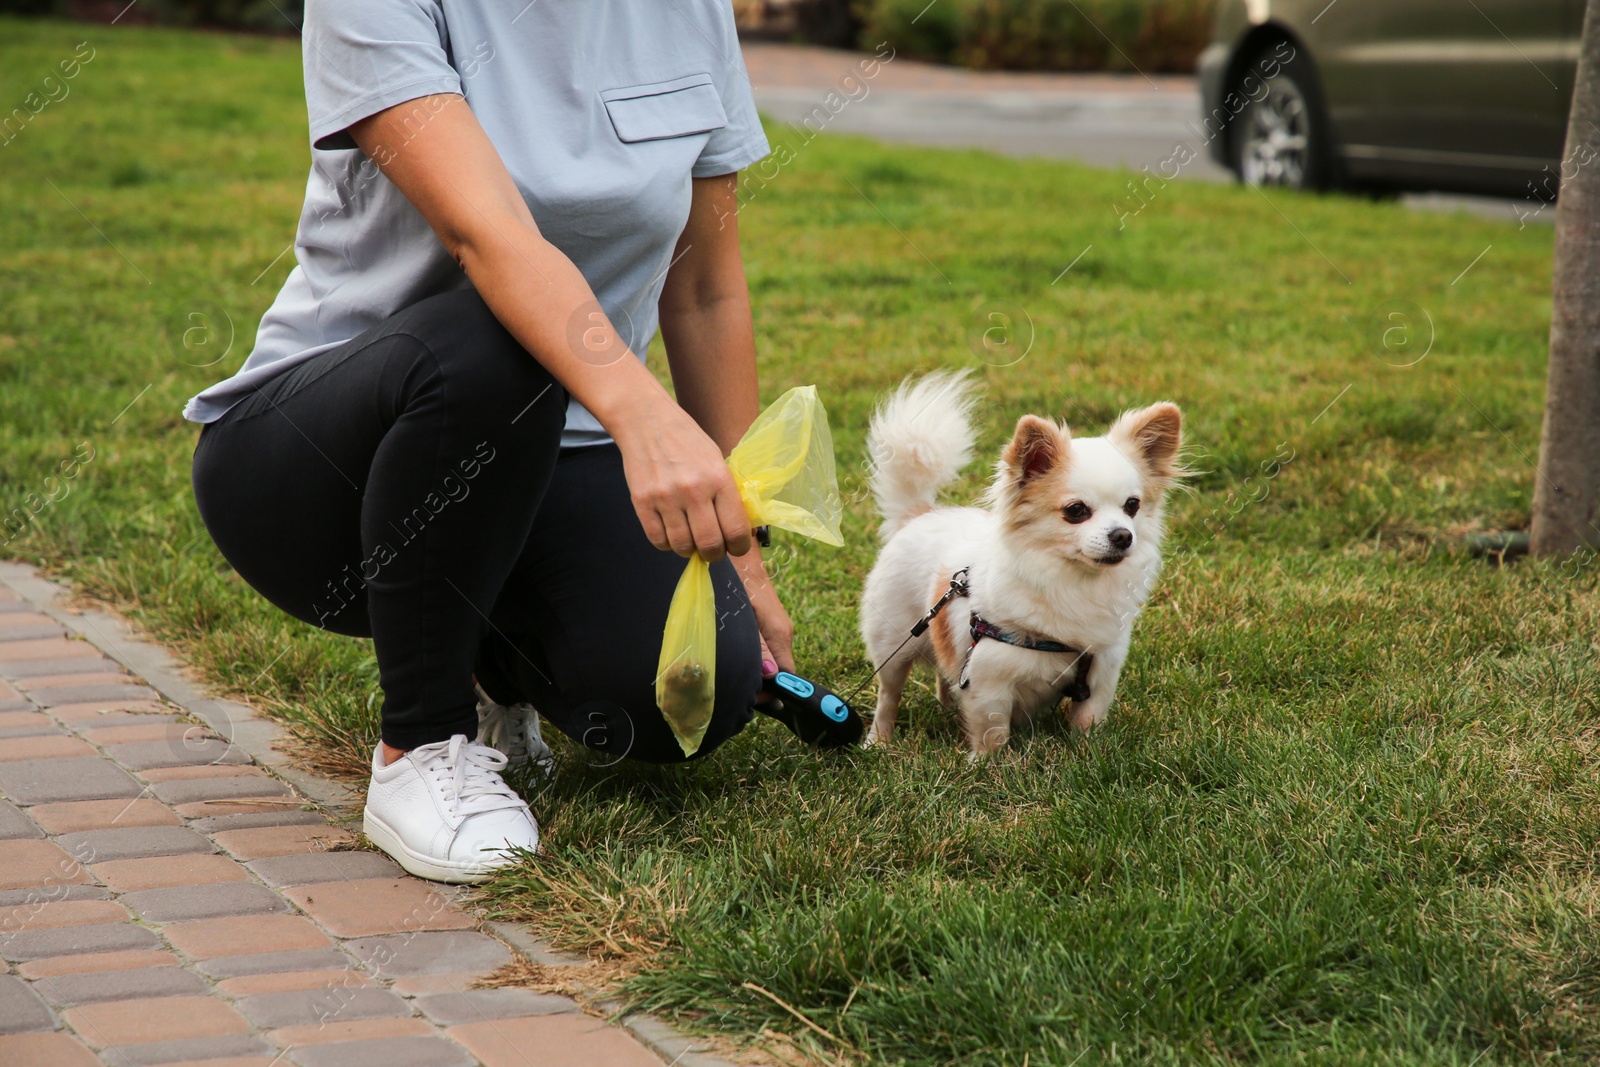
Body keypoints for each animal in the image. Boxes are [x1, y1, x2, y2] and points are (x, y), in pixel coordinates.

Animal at [857, 371, 1184, 755]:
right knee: (888, 695)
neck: (1075, 581)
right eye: (1076, 511)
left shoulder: (1101, 672)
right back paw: (879, 740)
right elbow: (992, 732)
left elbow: (1087, 720)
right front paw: (989, 764)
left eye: (1132, 506)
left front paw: (1088, 754)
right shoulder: (990, 681)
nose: (1123, 535)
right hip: (893, 643)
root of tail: (921, 513)